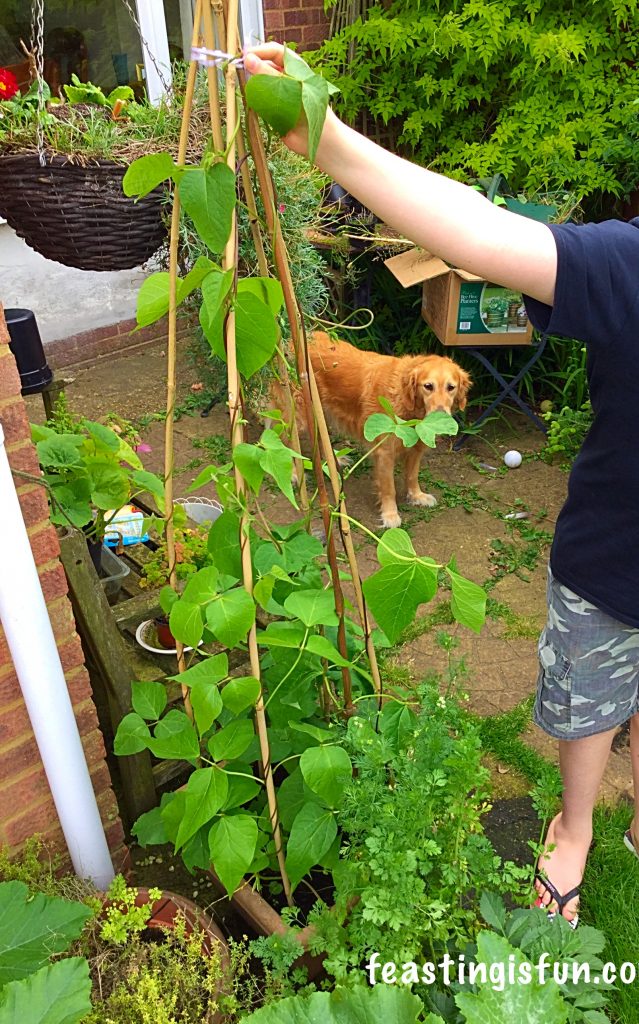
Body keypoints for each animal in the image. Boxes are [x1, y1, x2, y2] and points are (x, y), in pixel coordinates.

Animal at [284, 333, 469, 532]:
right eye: (428, 386)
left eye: (451, 387)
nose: (441, 417)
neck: (405, 401)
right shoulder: (385, 452)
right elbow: (389, 489)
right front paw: (390, 515)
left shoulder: (416, 448)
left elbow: (412, 475)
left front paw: (416, 496)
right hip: (299, 415)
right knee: (284, 440)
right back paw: (293, 473)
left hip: (320, 411)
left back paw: (334, 461)